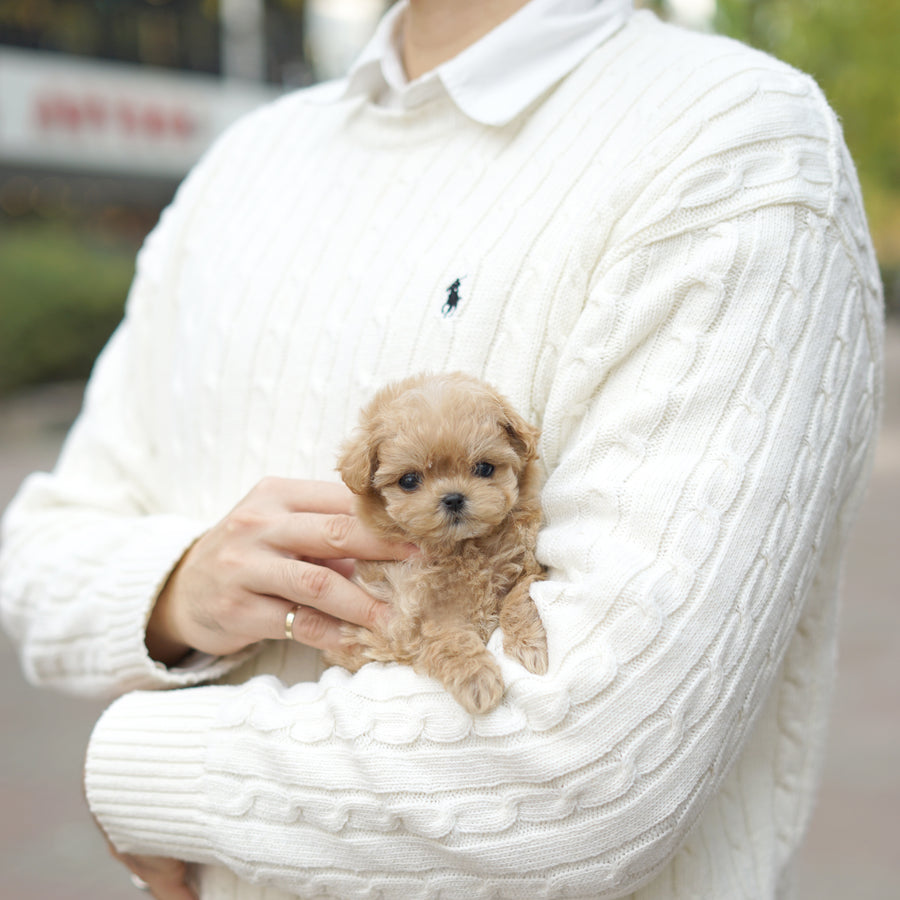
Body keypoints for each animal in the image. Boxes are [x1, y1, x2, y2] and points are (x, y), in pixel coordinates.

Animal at [324, 370, 548, 712]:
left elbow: (519, 597)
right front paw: (477, 679)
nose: (453, 498)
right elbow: (448, 638)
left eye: (484, 468)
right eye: (409, 480)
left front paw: (529, 647)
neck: (462, 548)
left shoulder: (526, 566)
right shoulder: (411, 619)